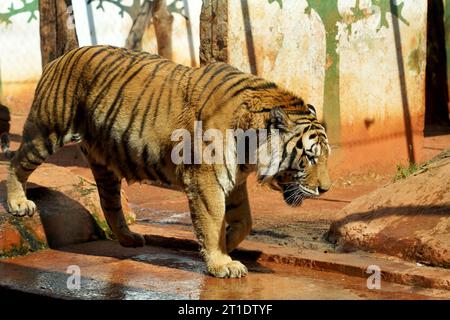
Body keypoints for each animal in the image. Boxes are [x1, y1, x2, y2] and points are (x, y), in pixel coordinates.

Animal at [3, 45, 330, 278]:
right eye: (309, 157)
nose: (325, 190)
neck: (250, 147)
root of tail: (61, 56)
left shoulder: (234, 181)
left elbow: (244, 220)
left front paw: (226, 243)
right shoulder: (205, 180)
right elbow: (212, 219)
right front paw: (221, 263)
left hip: (104, 162)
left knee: (110, 204)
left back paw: (129, 238)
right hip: (48, 129)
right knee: (17, 163)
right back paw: (18, 204)